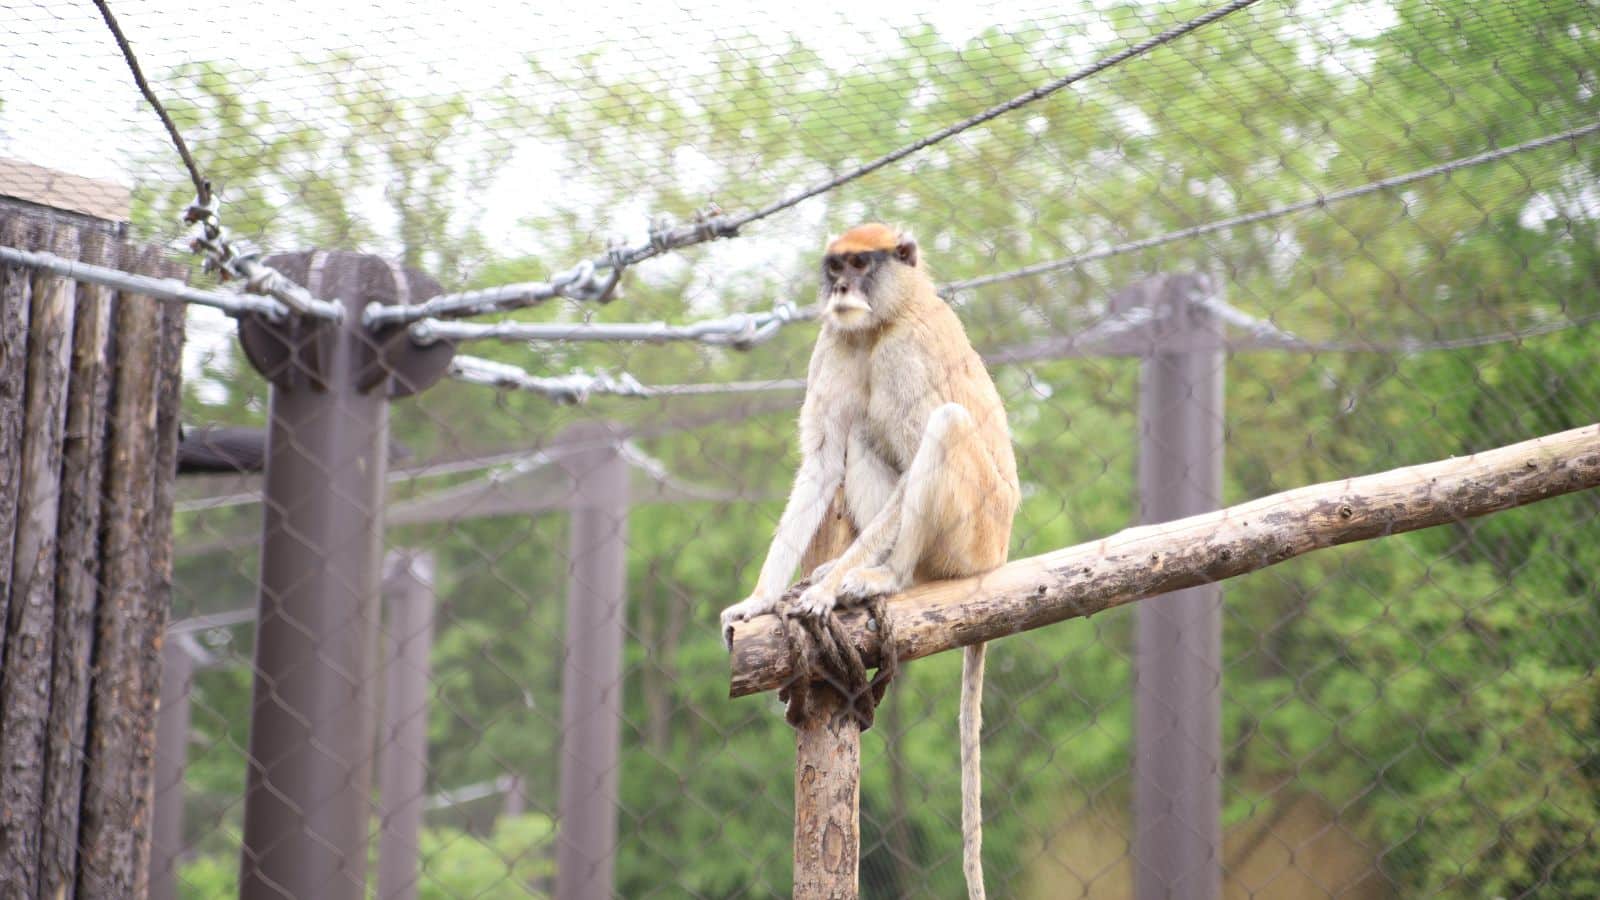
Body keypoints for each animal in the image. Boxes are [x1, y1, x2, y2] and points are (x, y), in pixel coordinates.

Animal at [723, 219, 1017, 896]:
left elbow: (914, 452)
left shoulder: (903, 354)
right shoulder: (835, 344)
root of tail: (999, 553)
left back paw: (883, 576)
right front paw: (759, 599)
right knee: (859, 432)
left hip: (975, 530)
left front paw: (827, 589)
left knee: (945, 423)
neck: (884, 319)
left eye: (862, 263)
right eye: (835, 266)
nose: (841, 289)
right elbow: (824, 458)